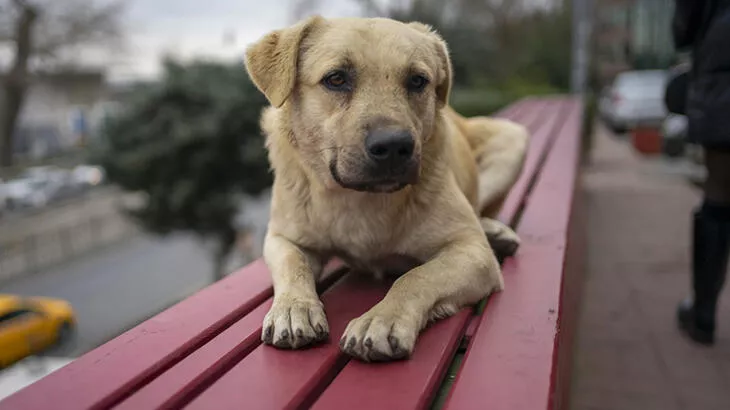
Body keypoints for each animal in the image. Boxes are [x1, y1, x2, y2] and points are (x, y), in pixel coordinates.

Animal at [243, 15, 524, 362]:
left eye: (417, 81)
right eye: (336, 78)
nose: (393, 146)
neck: (360, 197)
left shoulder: (474, 253)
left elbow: (415, 276)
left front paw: (381, 318)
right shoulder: (283, 238)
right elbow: (293, 264)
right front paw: (295, 307)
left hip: (513, 139)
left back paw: (495, 232)